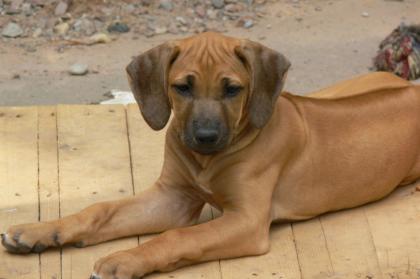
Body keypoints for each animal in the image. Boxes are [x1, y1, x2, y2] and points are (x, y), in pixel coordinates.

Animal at [2, 32, 420, 279]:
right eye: (182, 87)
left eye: (232, 89)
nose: (204, 137)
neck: (209, 160)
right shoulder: (172, 198)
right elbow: (99, 210)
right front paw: (40, 230)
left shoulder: (247, 221)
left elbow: (177, 237)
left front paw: (124, 260)